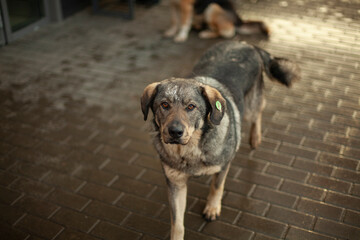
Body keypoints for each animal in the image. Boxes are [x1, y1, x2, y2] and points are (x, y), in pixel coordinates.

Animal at [141, 40, 300, 239]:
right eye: (164, 105)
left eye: (191, 107)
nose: (175, 132)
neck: (190, 150)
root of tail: (246, 44)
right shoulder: (175, 184)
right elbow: (177, 223)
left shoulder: (224, 166)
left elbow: (216, 187)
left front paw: (212, 208)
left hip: (250, 107)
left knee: (258, 112)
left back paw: (255, 137)